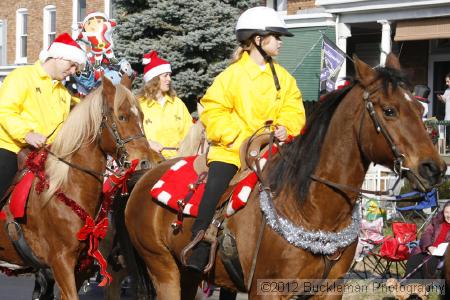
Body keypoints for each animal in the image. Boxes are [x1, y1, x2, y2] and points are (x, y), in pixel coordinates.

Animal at [0, 77, 160, 300]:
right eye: (122, 116)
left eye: (143, 117)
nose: (146, 163)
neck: (66, 189)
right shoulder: (60, 262)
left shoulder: (81, 267)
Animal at [119, 52, 446, 298]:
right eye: (389, 110)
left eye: (419, 109)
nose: (434, 168)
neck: (312, 210)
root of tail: (143, 177)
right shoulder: (267, 291)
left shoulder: (329, 290)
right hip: (163, 269)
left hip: (186, 275)